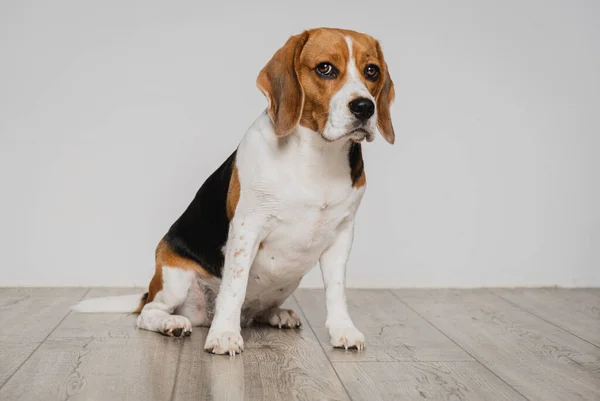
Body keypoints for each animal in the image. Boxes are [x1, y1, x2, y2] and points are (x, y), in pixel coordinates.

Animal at [74, 27, 394, 354]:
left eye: (372, 70)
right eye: (325, 68)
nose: (364, 107)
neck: (317, 156)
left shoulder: (342, 234)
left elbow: (336, 290)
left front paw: (343, 330)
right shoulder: (246, 228)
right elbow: (234, 287)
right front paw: (224, 334)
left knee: (258, 308)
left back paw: (276, 314)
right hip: (174, 279)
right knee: (149, 313)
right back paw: (171, 323)